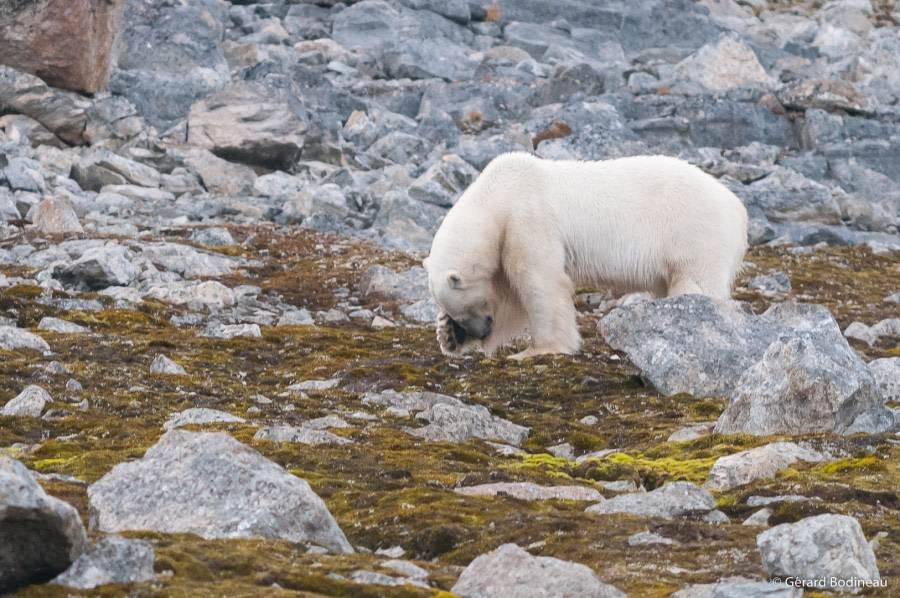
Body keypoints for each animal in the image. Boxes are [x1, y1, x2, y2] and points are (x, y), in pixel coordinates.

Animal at [426, 155, 748, 360]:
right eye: (457, 313)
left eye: (465, 307)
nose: (481, 331)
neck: (497, 194)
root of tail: (737, 209)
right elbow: (509, 294)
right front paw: (447, 334)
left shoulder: (528, 220)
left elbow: (538, 284)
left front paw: (538, 349)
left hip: (692, 234)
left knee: (696, 284)